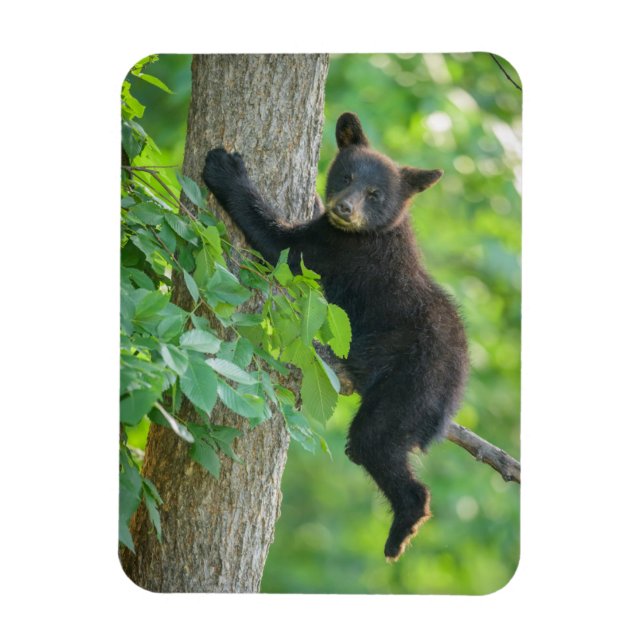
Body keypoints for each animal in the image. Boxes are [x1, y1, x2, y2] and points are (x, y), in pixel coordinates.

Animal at [202, 112, 469, 561]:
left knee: (373, 442)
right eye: (346, 176)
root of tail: (455, 392)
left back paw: (401, 529)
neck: (373, 232)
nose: (344, 208)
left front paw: (226, 169)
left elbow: (281, 245)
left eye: (375, 194)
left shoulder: (339, 250)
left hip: (410, 385)